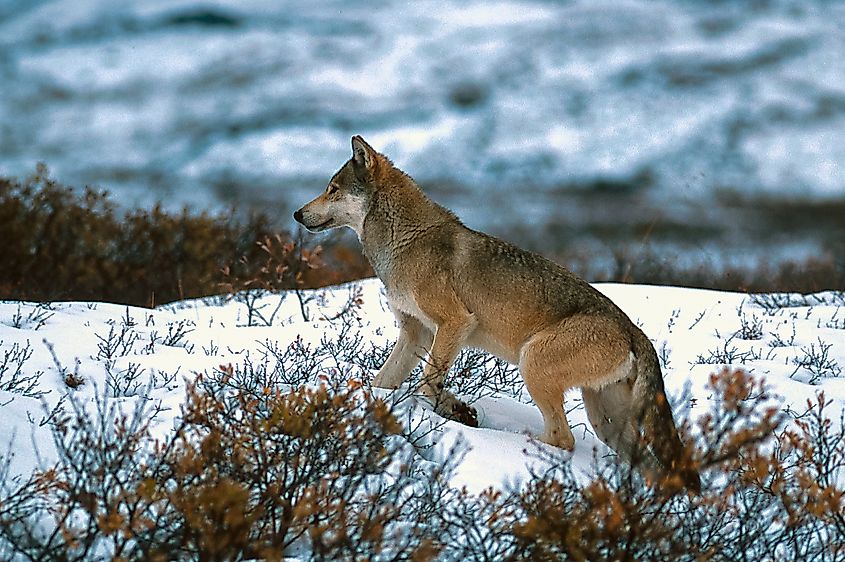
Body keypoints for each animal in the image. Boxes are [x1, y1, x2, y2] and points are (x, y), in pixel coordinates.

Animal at [294, 136, 700, 491]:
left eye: (332, 188)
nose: (297, 213)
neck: (403, 243)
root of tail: (636, 332)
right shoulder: (415, 333)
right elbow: (384, 382)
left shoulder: (454, 323)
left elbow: (426, 385)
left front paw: (457, 411)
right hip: (606, 421)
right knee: (640, 463)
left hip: (533, 364)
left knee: (563, 439)